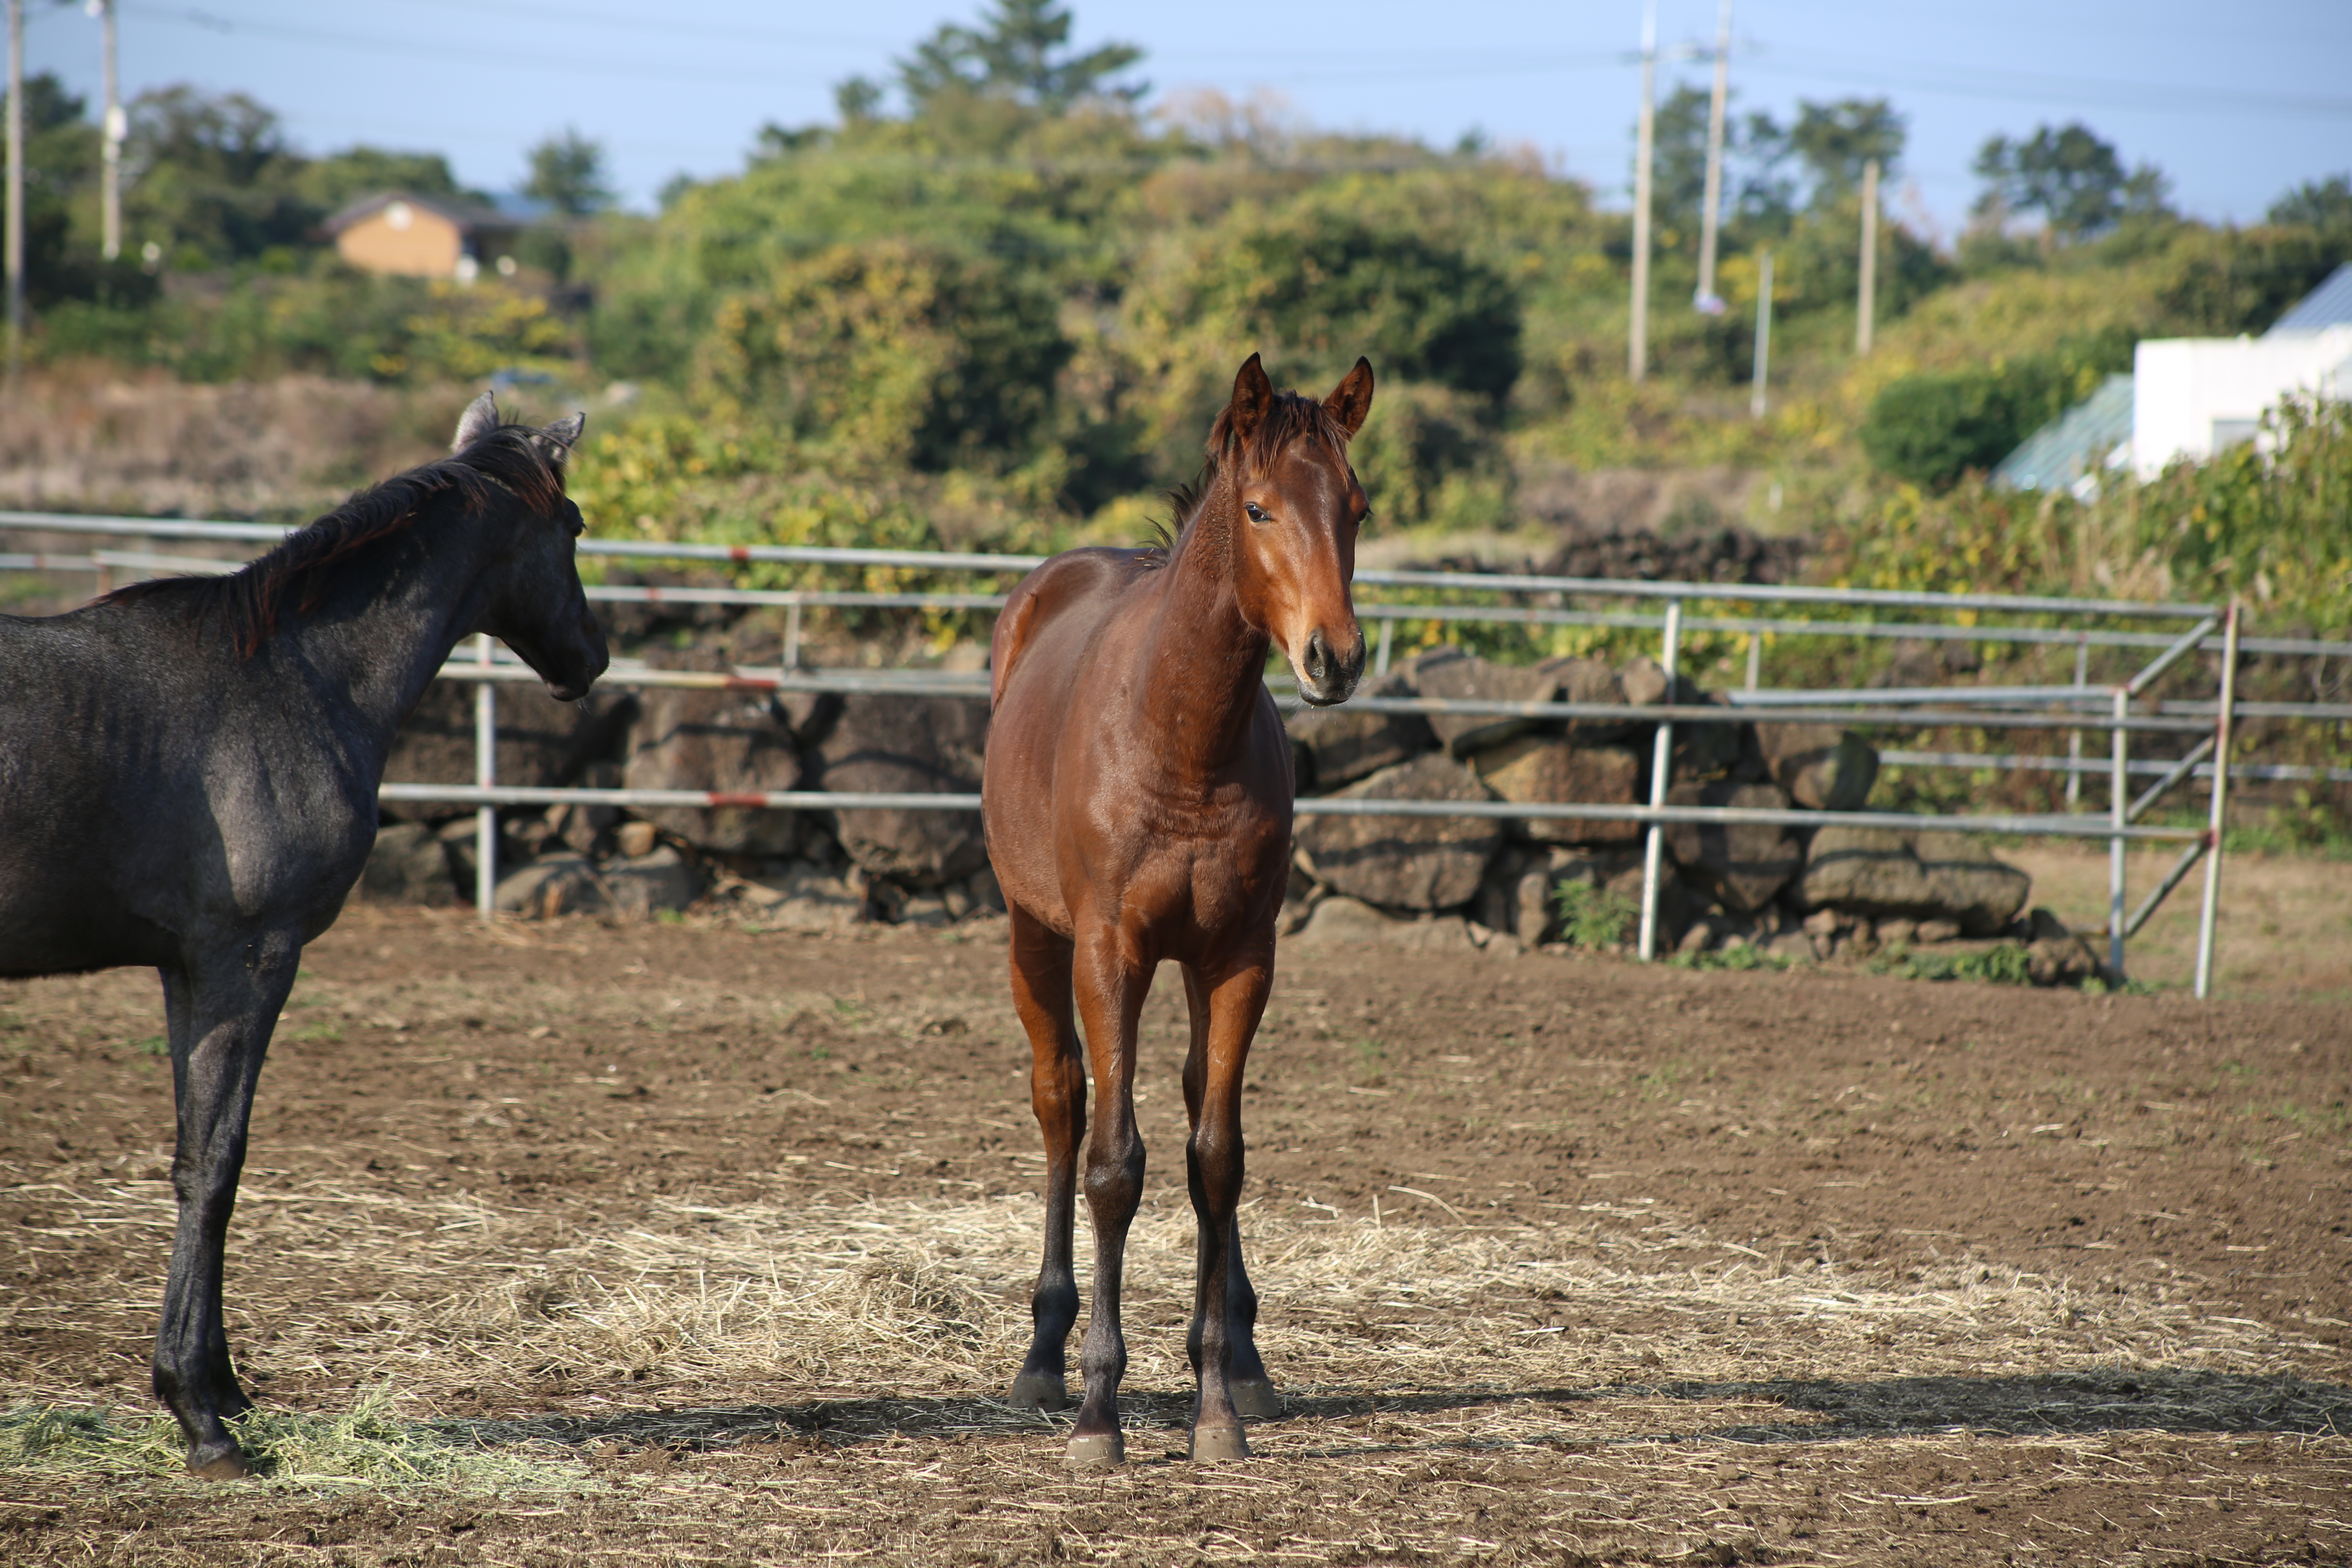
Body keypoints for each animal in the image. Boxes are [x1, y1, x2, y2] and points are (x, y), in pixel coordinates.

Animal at [2, 392, 607, 1476]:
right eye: (574, 525)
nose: (593, 655)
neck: (296, 676)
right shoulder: (252, 958)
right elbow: (216, 1165)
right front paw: (200, 1414)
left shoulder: (187, 968)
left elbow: (195, 1152)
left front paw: (221, 1391)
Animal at [978, 355, 1373, 1476]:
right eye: (1259, 507)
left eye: (1357, 508)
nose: (1333, 656)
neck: (1180, 732)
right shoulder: (1109, 952)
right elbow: (1115, 1165)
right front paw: (1098, 1415)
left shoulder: (1239, 956)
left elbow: (1216, 1161)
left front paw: (1215, 1406)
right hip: (1035, 937)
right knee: (1063, 1103)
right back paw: (1042, 1356)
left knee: (1201, 1107)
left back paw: (1243, 1353)